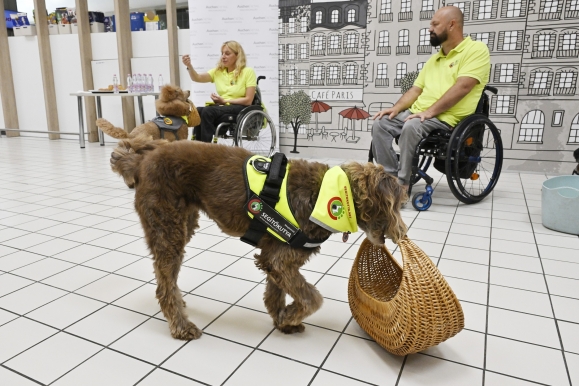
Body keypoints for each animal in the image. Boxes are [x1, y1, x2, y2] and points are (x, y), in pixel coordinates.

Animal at [110, 138, 408, 340]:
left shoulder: (274, 259)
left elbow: (275, 293)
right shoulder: (281, 259)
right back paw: (181, 326)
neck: (331, 195)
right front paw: (290, 316)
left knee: (167, 278)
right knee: (163, 284)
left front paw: (283, 321)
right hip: (166, 227)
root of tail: (142, 161)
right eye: (398, 205)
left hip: (183, 225)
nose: (403, 232)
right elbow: (312, 298)